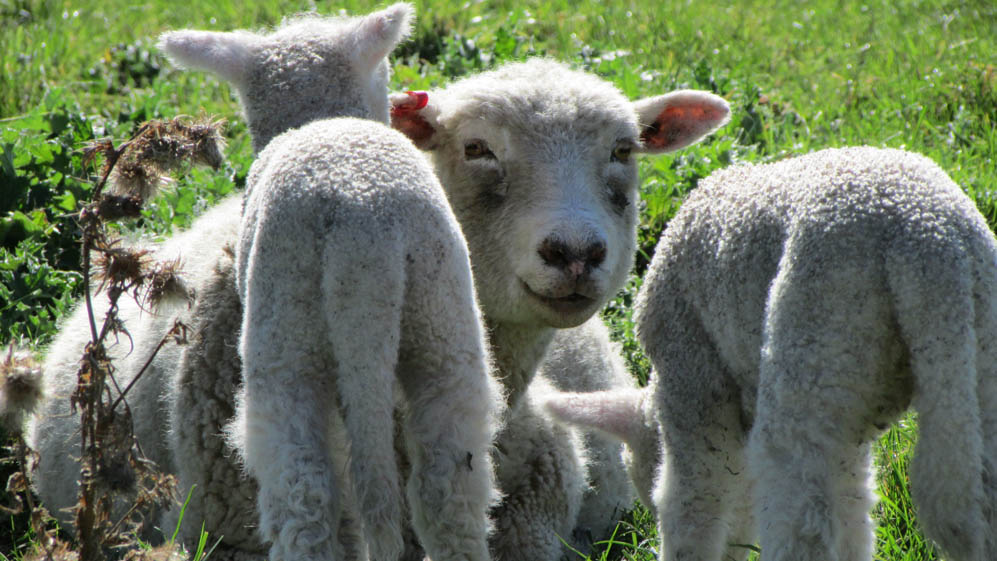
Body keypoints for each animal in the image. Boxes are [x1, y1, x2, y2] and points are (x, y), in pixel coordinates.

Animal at [544, 147, 996, 560]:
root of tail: (927, 239)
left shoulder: (690, 369)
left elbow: (694, 496)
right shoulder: (848, 419)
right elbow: (853, 505)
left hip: (816, 329)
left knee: (801, 510)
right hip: (970, 352)